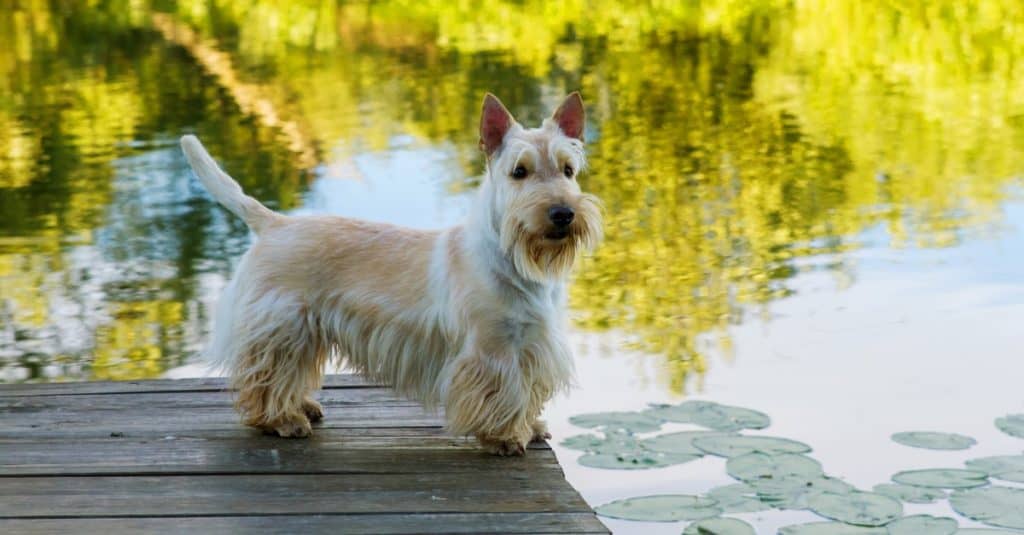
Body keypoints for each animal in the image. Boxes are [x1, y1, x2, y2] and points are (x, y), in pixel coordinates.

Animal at [181, 91, 602, 453]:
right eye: (519, 171)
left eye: (568, 169)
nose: (563, 214)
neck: (516, 260)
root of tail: (274, 223)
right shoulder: (491, 348)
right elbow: (503, 393)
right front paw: (504, 436)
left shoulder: (532, 344)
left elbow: (527, 391)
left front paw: (530, 426)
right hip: (281, 325)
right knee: (265, 376)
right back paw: (282, 419)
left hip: (300, 330)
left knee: (289, 373)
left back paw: (303, 407)